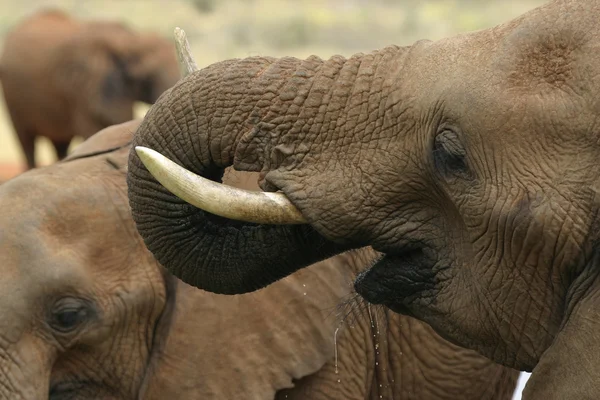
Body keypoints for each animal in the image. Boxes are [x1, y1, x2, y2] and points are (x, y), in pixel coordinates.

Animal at [0, 9, 179, 169]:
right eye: (145, 76)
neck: (129, 41)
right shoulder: (82, 87)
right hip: (12, 97)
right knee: (26, 141)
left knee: (60, 143)